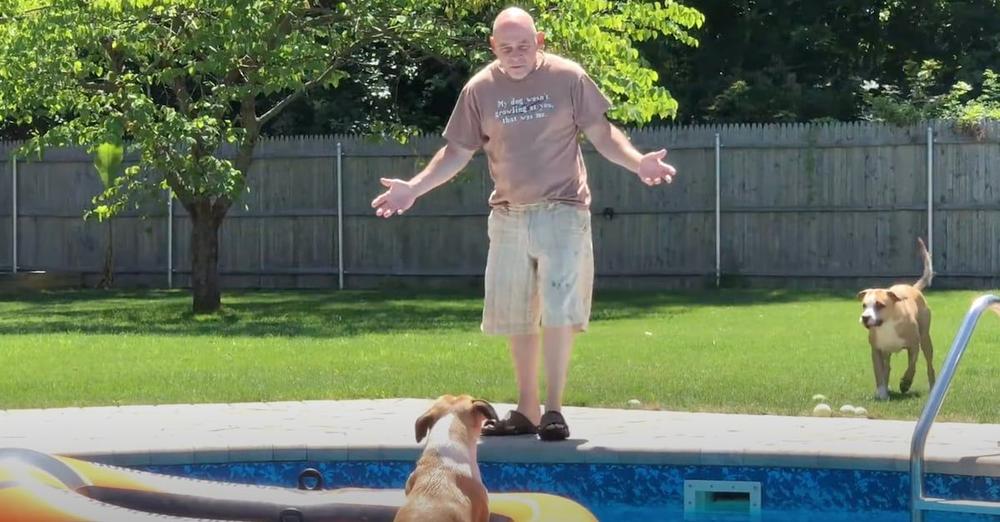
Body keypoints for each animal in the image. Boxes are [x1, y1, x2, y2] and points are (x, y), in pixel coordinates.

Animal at [860, 238, 936, 400]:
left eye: (879, 305)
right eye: (864, 305)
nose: (865, 317)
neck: (887, 325)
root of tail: (913, 288)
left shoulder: (914, 346)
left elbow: (911, 366)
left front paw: (905, 383)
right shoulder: (876, 350)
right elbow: (879, 373)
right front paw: (882, 393)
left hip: (925, 340)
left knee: (929, 365)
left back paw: (933, 386)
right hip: (887, 352)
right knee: (887, 368)